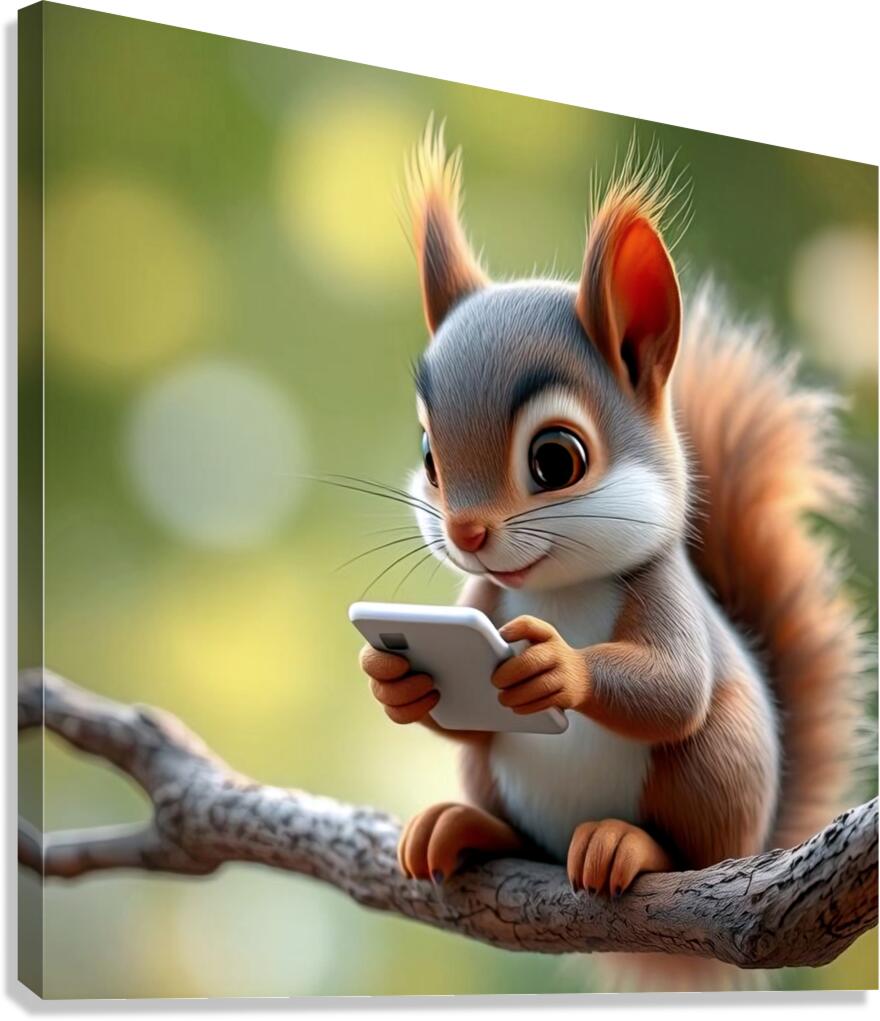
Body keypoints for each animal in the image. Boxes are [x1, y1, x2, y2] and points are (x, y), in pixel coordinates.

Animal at [358, 124, 862, 987]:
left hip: (716, 771)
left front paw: (556, 667)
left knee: (687, 838)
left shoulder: (663, 592)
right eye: (429, 455)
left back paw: (625, 844)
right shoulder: (482, 599)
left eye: (556, 459)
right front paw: (395, 680)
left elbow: (674, 686)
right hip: (499, 777)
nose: (467, 534)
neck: (557, 589)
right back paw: (464, 828)